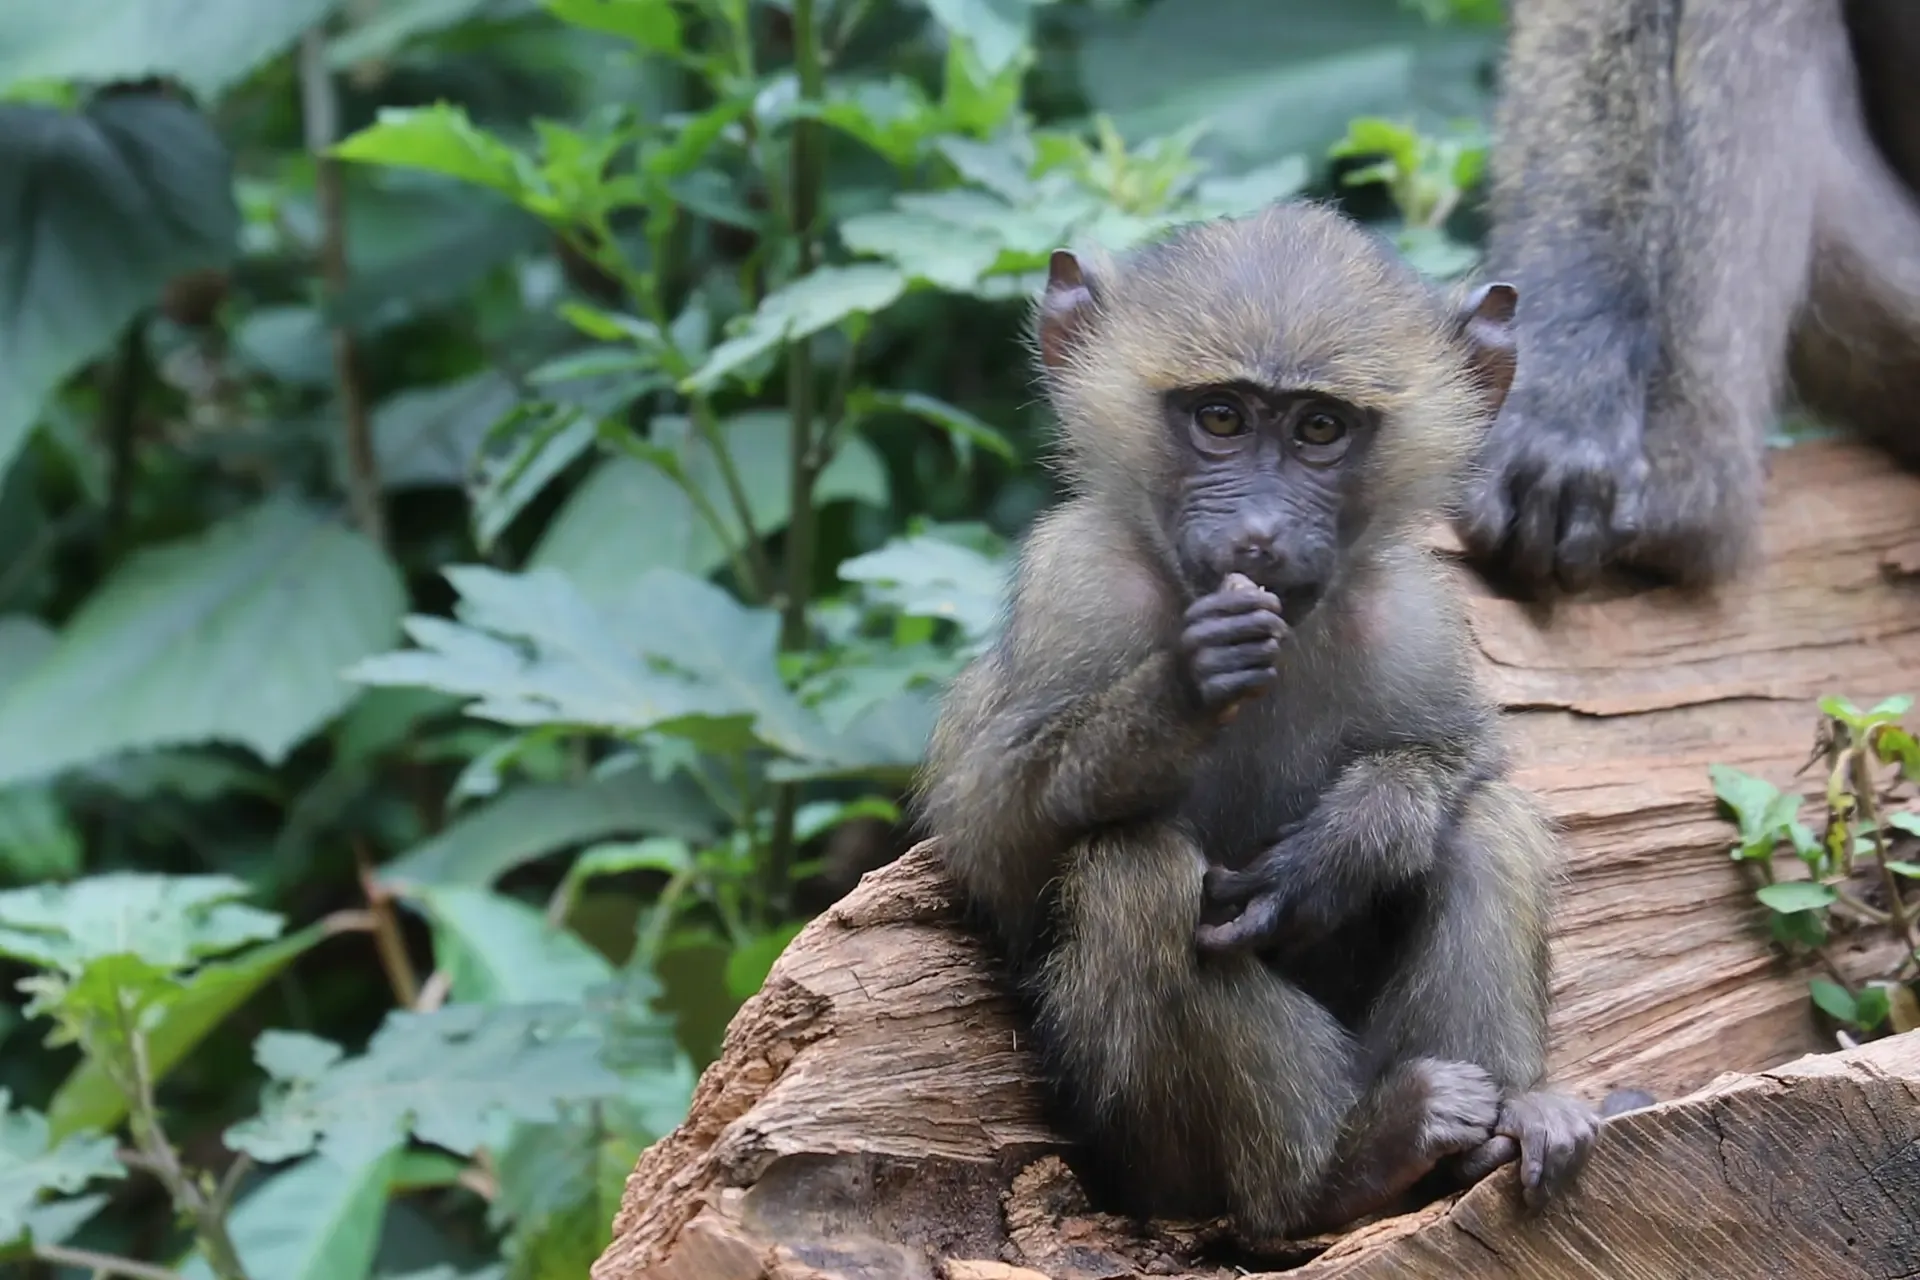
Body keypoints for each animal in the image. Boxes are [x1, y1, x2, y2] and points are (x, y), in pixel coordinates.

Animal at [912, 202, 1600, 1243]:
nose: (1261, 538)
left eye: (1320, 428)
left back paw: (1495, 1130)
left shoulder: (1410, 613)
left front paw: (1348, 847)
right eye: (1221, 418)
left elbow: (1459, 758)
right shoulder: (1080, 586)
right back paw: (1342, 1173)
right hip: (1147, 1171)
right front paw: (1183, 690)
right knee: (1137, 871)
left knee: (1487, 830)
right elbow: (995, 832)